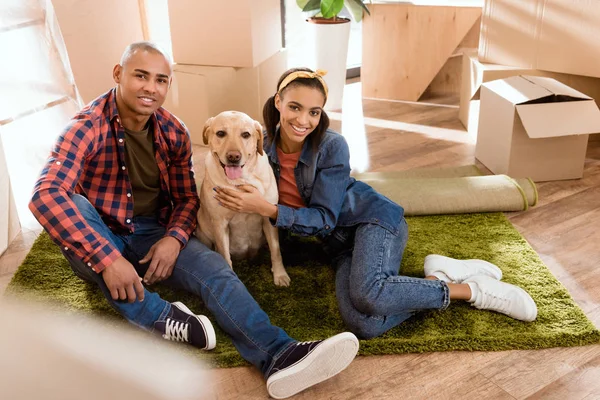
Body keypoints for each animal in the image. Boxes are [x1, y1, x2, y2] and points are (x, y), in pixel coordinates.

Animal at [197, 111, 290, 286]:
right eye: (221, 133)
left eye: (246, 134)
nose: (234, 157)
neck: (241, 181)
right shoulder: (220, 224)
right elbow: (225, 257)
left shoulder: (269, 218)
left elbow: (276, 251)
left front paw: (280, 274)